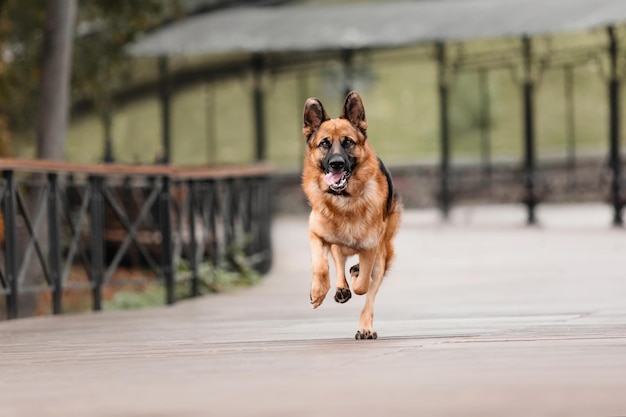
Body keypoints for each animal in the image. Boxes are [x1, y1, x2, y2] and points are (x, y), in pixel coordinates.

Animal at [302, 92, 400, 338]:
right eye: (324, 143)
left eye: (348, 142)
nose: (336, 164)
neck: (344, 201)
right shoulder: (315, 233)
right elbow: (321, 266)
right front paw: (318, 292)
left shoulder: (371, 248)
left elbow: (363, 285)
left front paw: (356, 276)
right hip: (337, 245)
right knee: (338, 260)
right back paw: (340, 288)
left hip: (383, 254)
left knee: (370, 293)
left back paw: (365, 327)